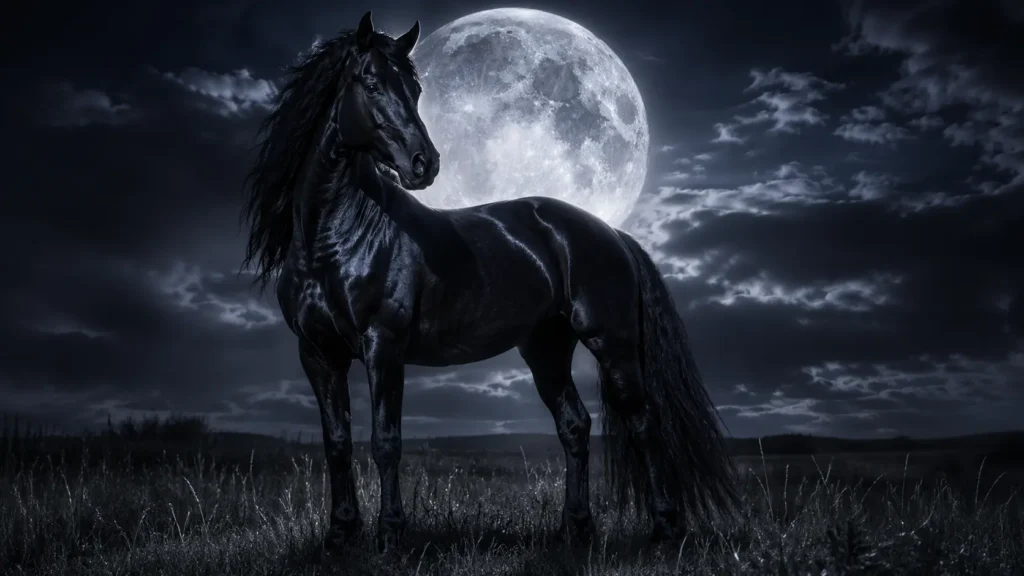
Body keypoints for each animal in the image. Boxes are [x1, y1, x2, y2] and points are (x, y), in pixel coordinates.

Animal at [242, 11, 738, 551]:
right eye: (370, 84)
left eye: (415, 89)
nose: (424, 163)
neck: (334, 243)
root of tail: (610, 232)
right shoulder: (318, 354)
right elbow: (337, 444)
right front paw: (340, 534)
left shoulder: (383, 346)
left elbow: (385, 442)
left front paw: (390, 535)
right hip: (546, 349)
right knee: (575, 426)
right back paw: (574, 528)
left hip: (613, 343)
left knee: (644, 423)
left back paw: (665, 527)